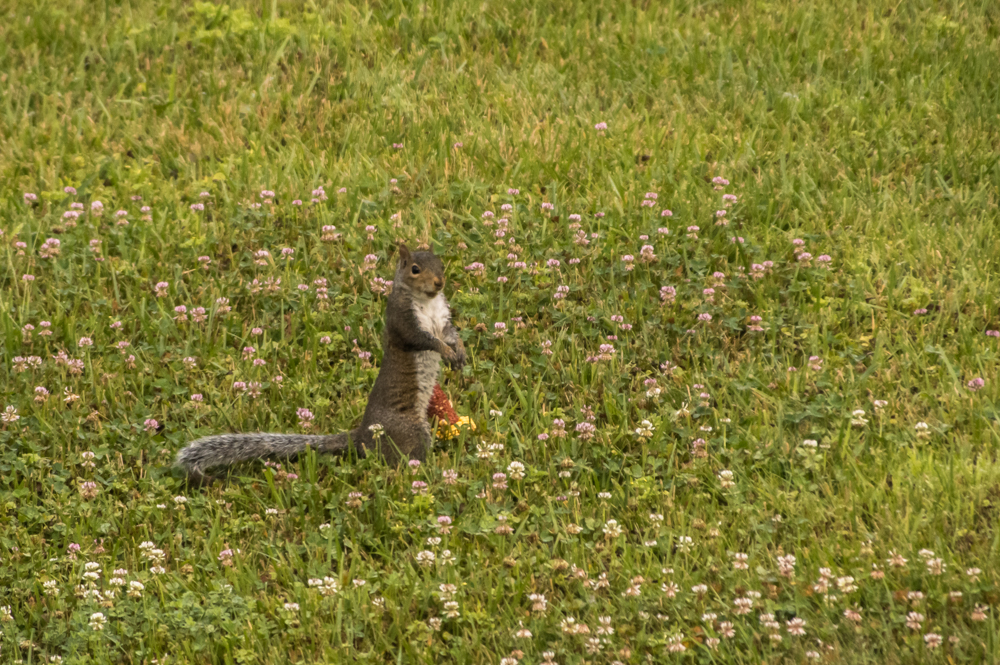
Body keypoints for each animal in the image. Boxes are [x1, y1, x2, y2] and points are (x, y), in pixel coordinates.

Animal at [175, 244, 466, 485]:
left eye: (440, 263)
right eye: (415, 269)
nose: (440, 282)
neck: (427, 301)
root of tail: (362, 436)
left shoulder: (443, 319)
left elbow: (451, 333)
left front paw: (460, 353)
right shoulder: (404, 321)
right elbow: (424, 339)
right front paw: (446, 352)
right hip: (410, 430)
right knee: (404, 459)